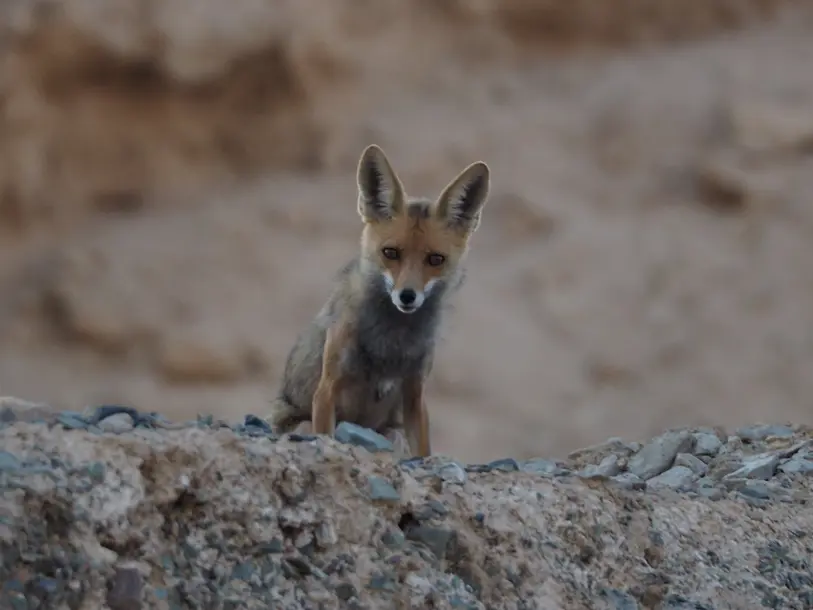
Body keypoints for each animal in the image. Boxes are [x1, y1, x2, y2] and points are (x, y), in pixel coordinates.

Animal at [266, 144, 491, 458]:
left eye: (436, 259)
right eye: (390, 253)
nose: (407, 296)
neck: (391, 343)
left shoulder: (414, 394)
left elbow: (424, 452)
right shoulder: (326, 390)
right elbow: (326, 436)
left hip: (391, 431)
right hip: (300, 420)